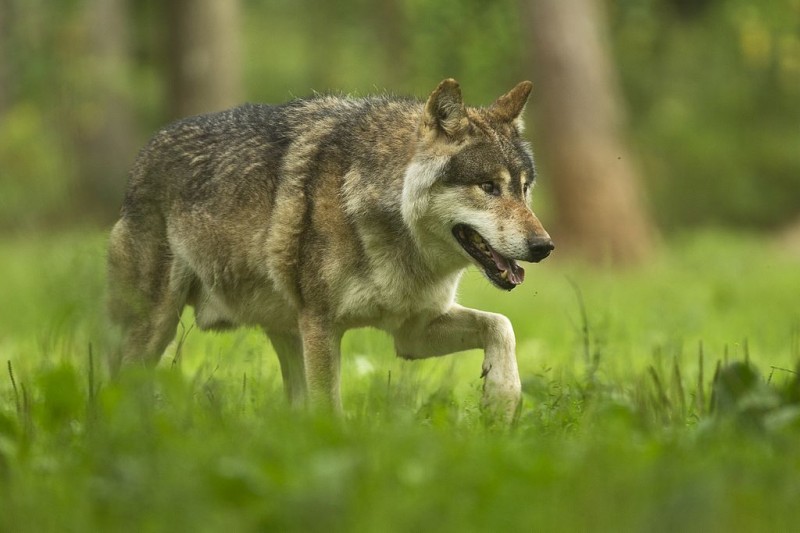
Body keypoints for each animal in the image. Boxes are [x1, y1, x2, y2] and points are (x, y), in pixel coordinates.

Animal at [107, 79, 553, 422]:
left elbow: (501, 326)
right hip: (156, 327)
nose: (544, 246)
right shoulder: (321, 326)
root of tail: (142, 156)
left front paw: (500, 400)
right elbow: (328, 409)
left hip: (286, 334)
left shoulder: (411, 333)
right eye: (489, 187)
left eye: (523, 188)